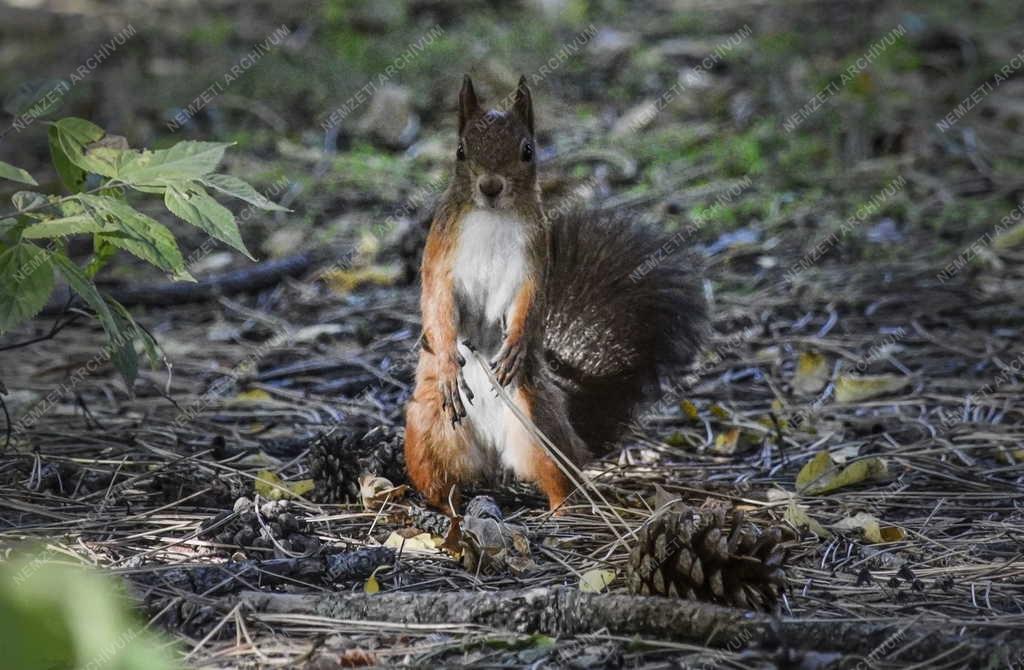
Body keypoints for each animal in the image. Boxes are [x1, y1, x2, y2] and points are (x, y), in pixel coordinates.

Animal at [399, 74, 704, 514]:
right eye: (460, 149)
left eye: (528, 150)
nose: (490, 187)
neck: (492, 218)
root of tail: (492, 454)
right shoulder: (440, 256)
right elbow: (437, 303)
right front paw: (447, 364)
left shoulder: (533, 260)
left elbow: (529, 302)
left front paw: (515, 344)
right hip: (428, 429)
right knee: (441, 480)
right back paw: (441, 508)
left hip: (539, 426)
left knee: (561, 475)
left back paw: (561, 512)